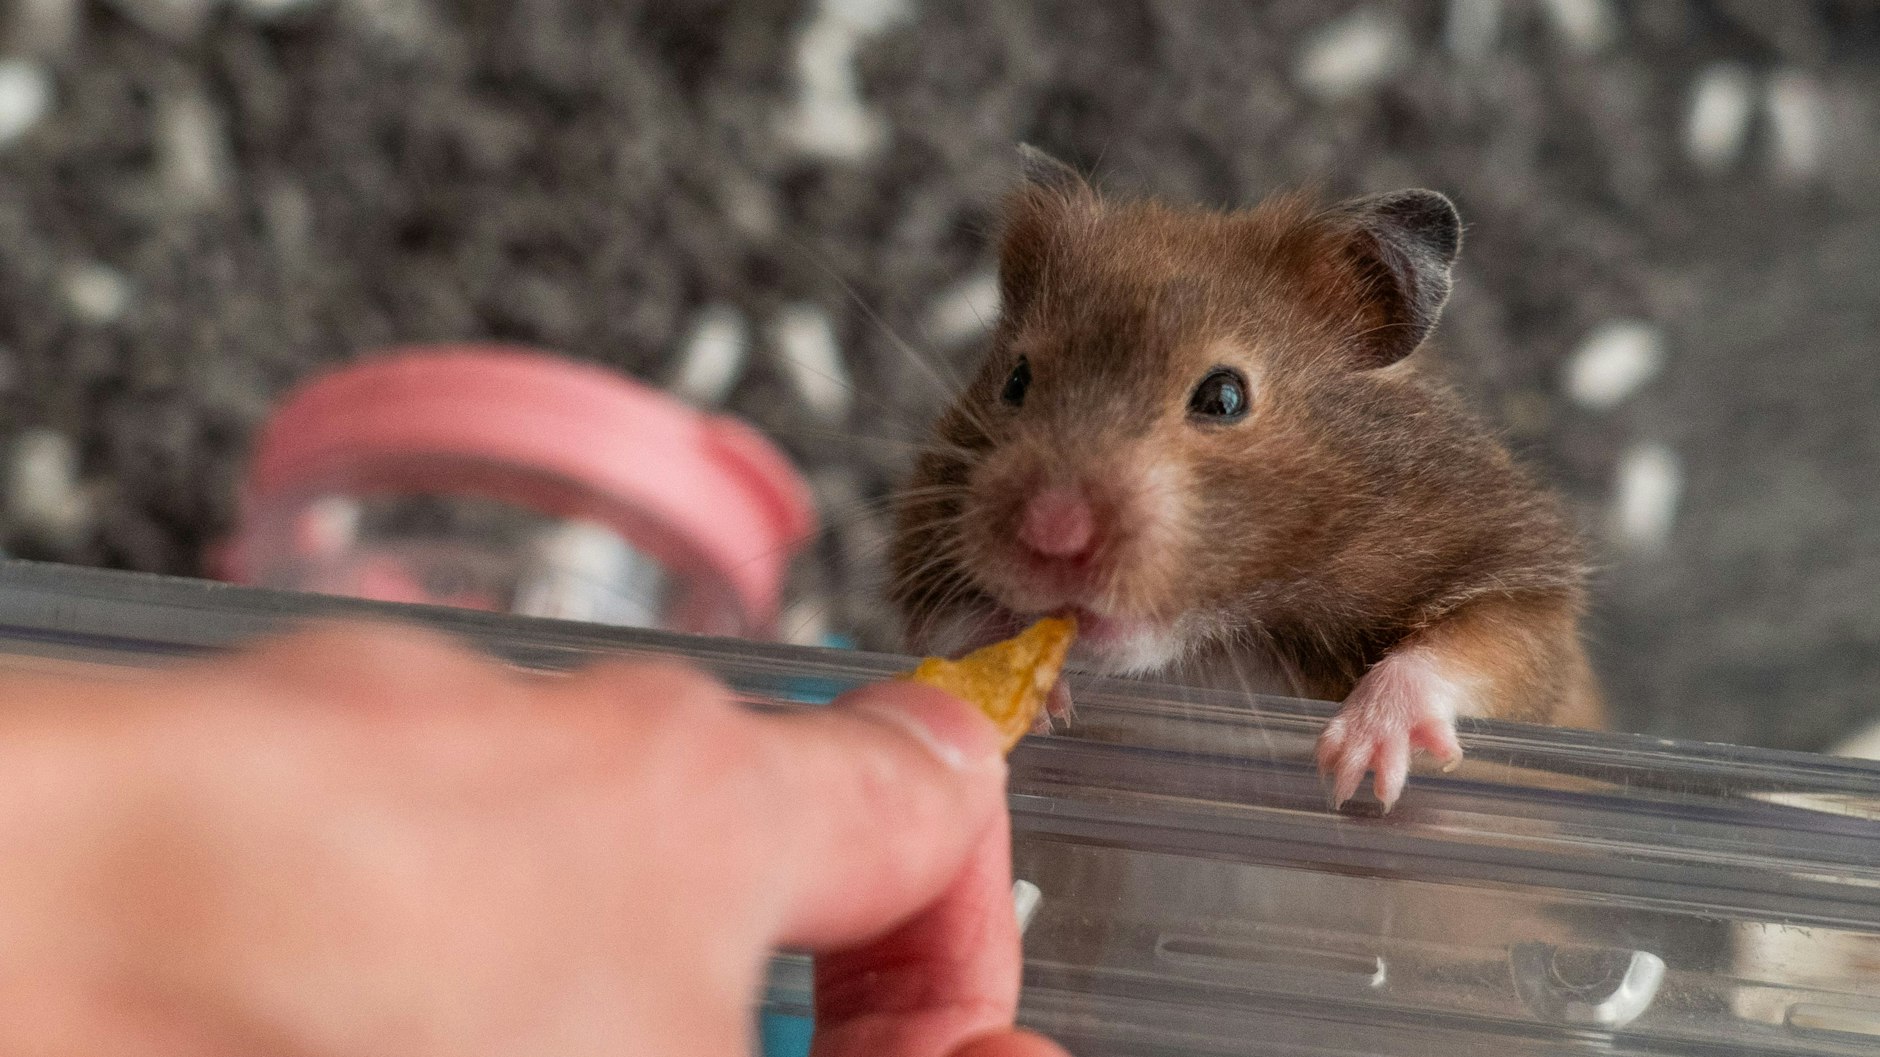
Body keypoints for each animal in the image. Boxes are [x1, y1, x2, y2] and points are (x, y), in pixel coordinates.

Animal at [889, 147, 1603, 811]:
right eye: (1016, 380)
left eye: (1225, 397)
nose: (1051, 531)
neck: (1219, 644)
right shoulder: (920, 560)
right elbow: (945, 623)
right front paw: (1022, 687)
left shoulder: (1524, 584)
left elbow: (1481, 648)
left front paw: (1355, 771)